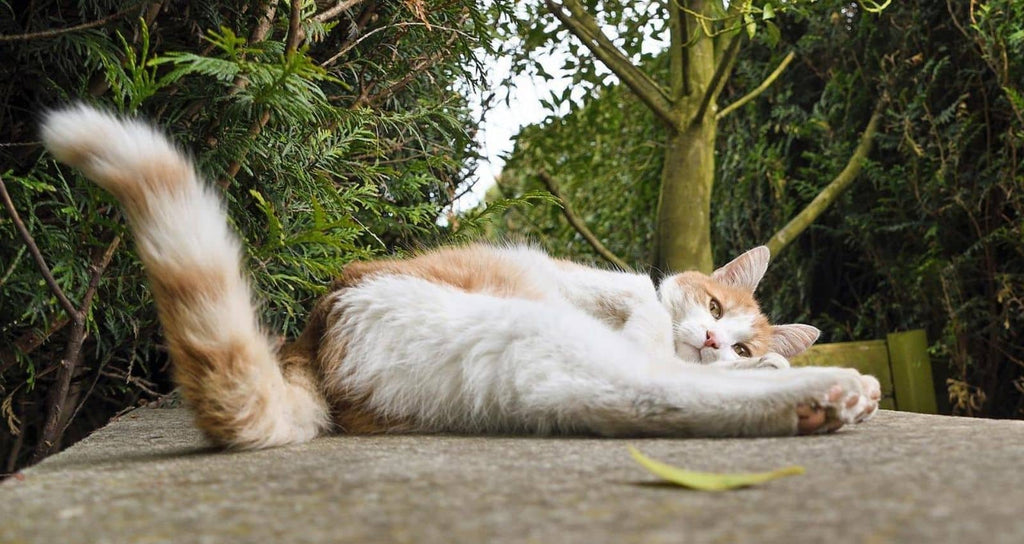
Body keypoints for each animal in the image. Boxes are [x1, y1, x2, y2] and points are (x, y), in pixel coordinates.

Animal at [39, 105, 880, 450]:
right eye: (711, 301)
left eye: (739, 339)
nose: (712, 342)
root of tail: (309, 340)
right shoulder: (595, 284)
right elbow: (637, 304)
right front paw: (658, 325)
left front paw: (764, 364)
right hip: (526, 324)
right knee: (649, 389)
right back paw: (827, 393)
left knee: (644, 400)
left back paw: (818, 397)